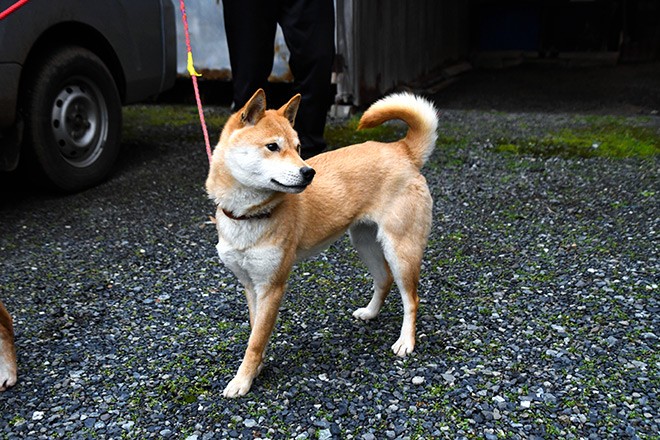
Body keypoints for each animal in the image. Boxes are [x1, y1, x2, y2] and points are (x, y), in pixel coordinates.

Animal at [206, 89, 438, 398]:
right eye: (272, 146)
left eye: (298, 147)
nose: (309, 172)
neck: (248, 214)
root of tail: (402, 150)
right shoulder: (251, 285)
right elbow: (257, 331)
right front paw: (256, 369)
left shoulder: (272, 286)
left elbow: (255, 341)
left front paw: (242, 380)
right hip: (364, 243)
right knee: (384, 279)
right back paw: (370, 312)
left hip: (401, 251)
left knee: (411, 299)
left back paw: (406, 341)